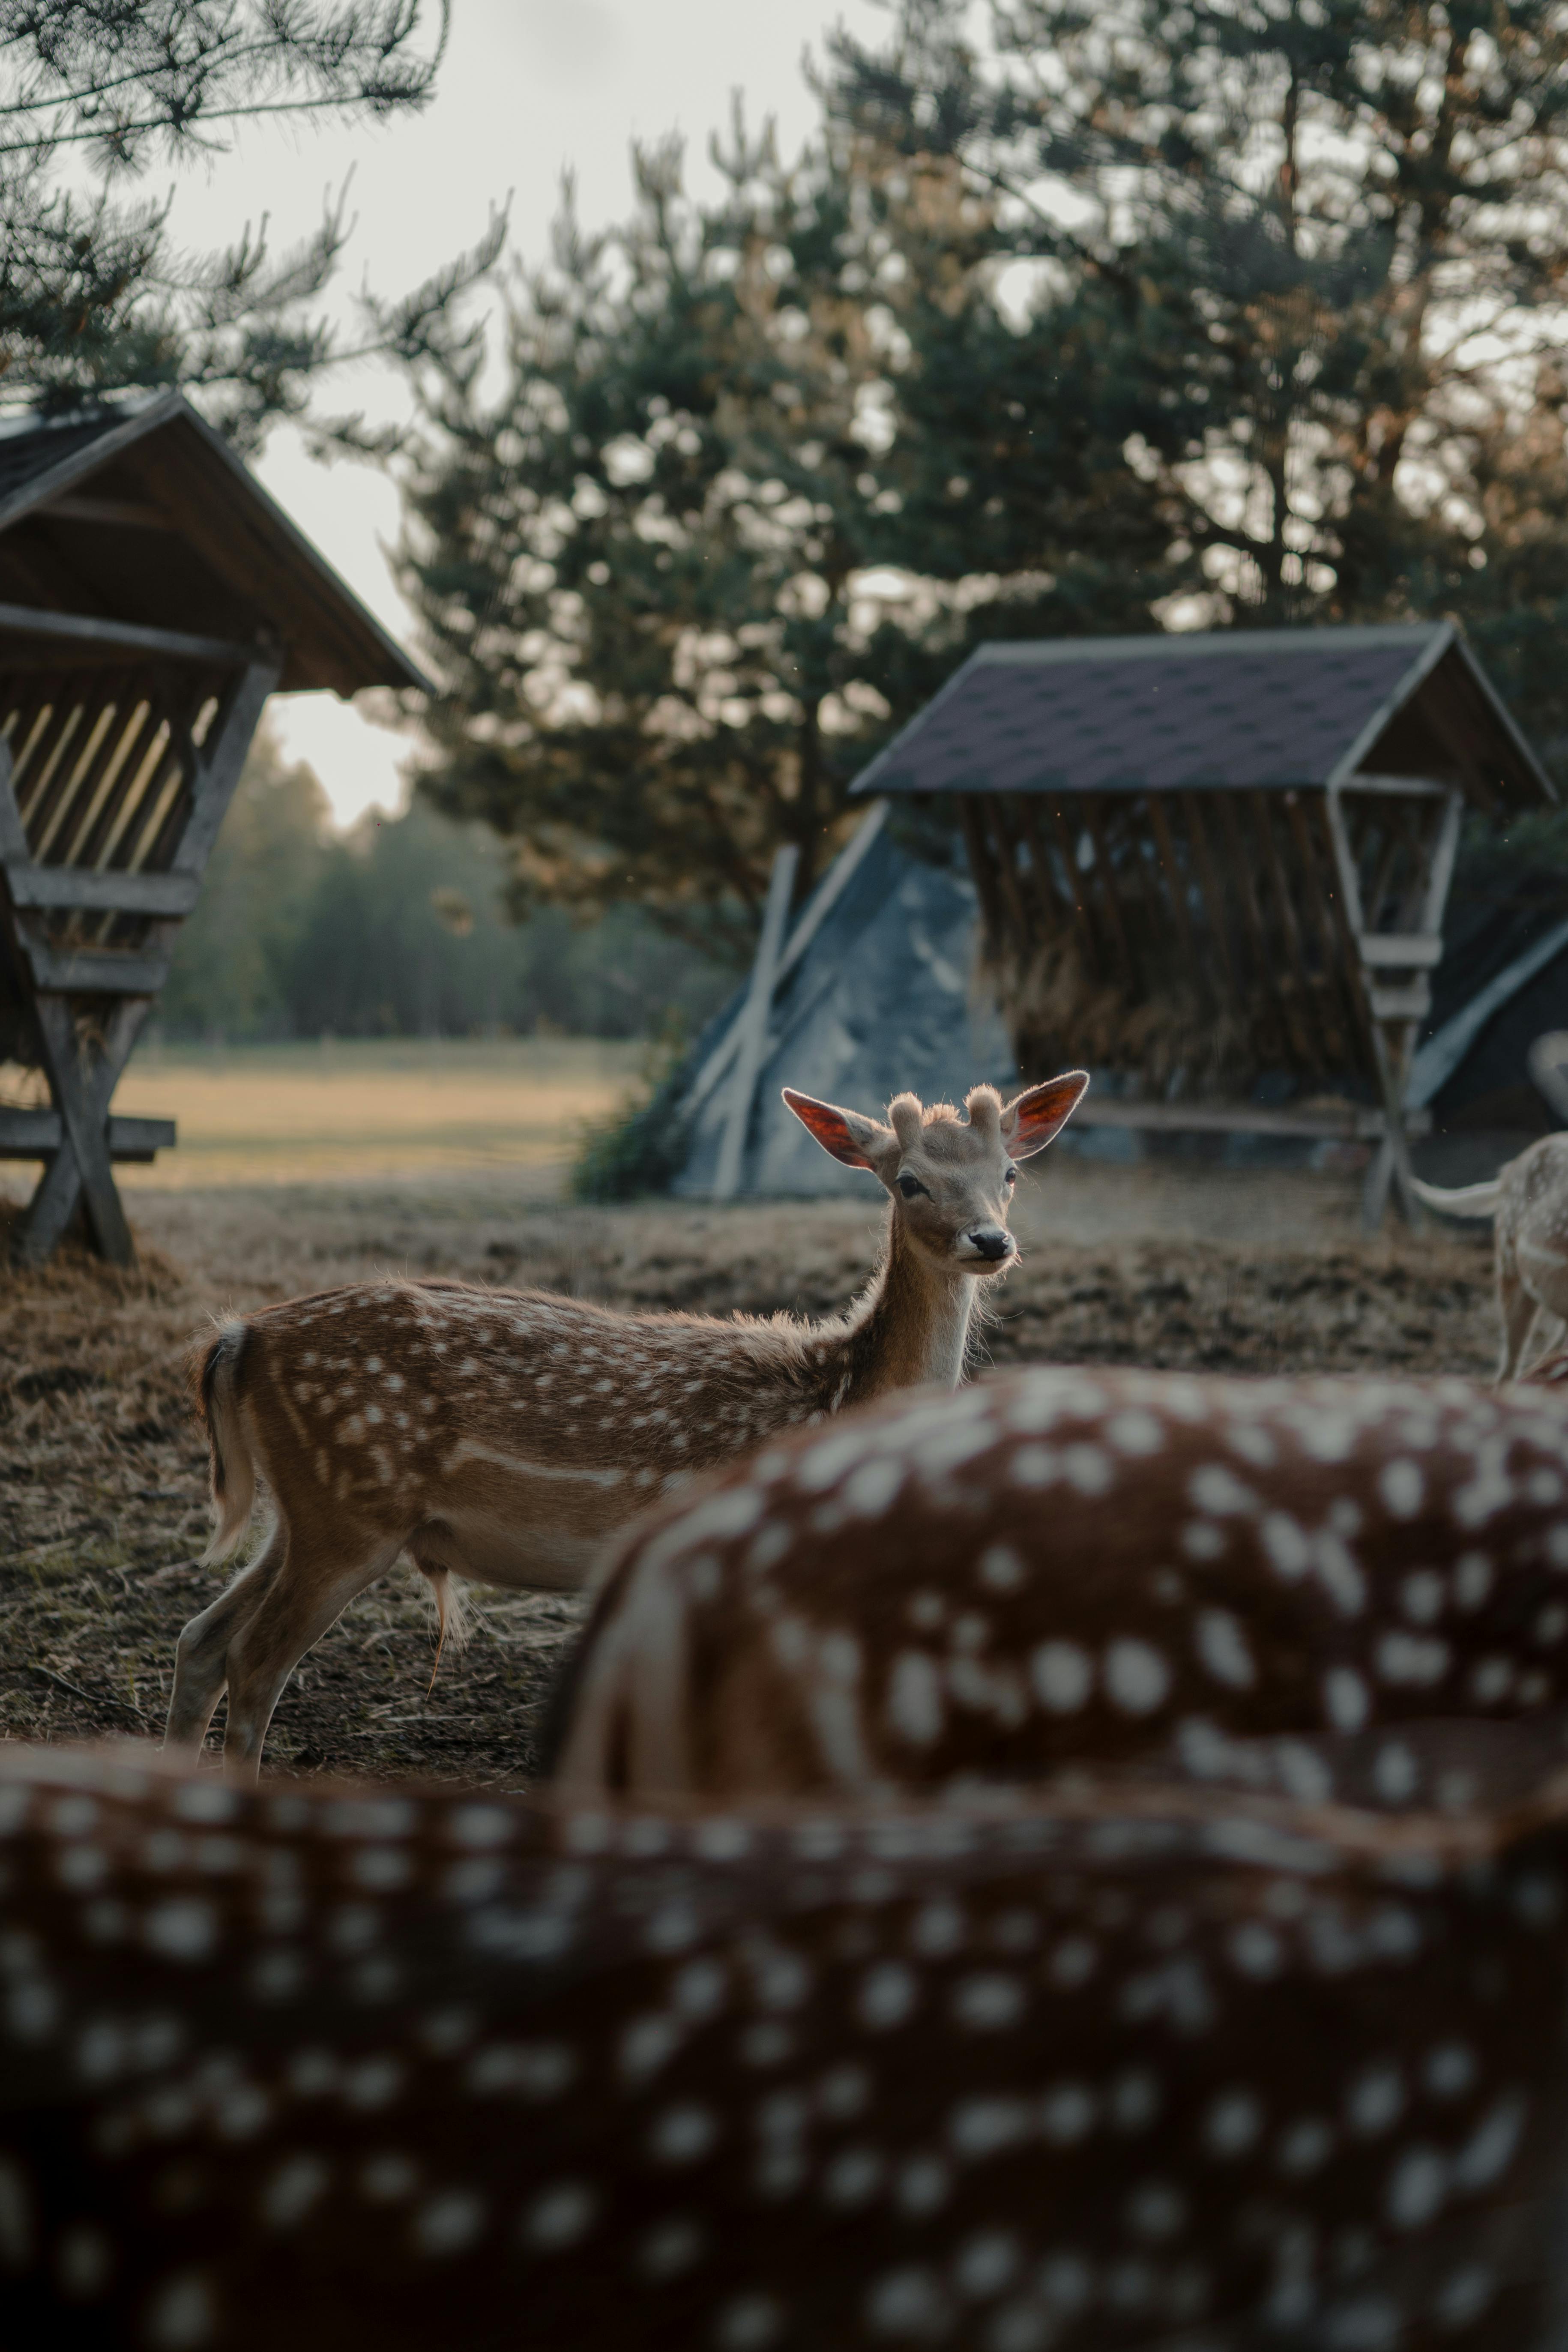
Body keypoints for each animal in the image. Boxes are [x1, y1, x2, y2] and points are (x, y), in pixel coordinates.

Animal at [165, 1077, 1086, 1768]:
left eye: (1009, 1174)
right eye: (910, 1181)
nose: (991, 1241)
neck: (835, 1397)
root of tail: (239, 1337)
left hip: (308, 1512)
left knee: (202, 1637)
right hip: (350, 1508)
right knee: (253, 1664)